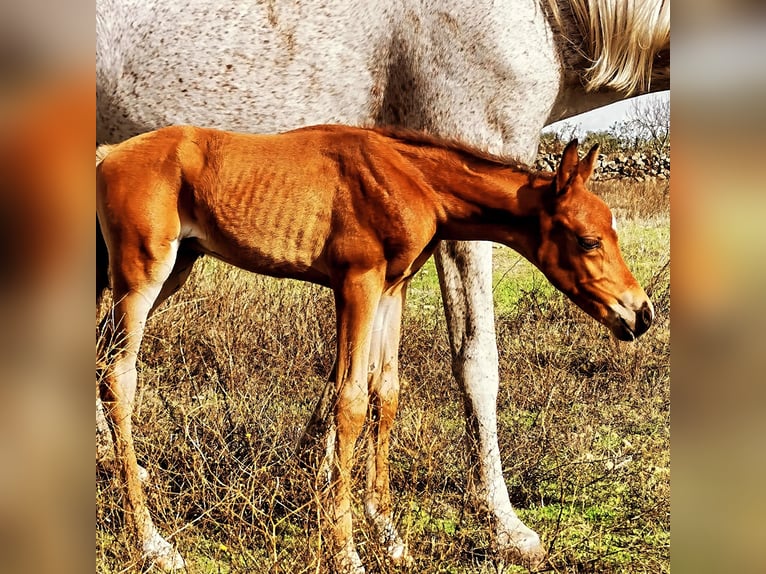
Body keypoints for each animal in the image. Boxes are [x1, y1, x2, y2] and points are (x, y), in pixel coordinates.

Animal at [96, 2, 668, 572]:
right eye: (589, 240)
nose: (639, 313)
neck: (405, 173)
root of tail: (108, 154)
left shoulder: (393, 288)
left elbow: (385, 391)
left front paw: (387, 532)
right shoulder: (358, 283)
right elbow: (356, 397)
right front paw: (348, 546)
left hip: (172, 270)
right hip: (143, 275)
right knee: (119, 377)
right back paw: (152, 543)